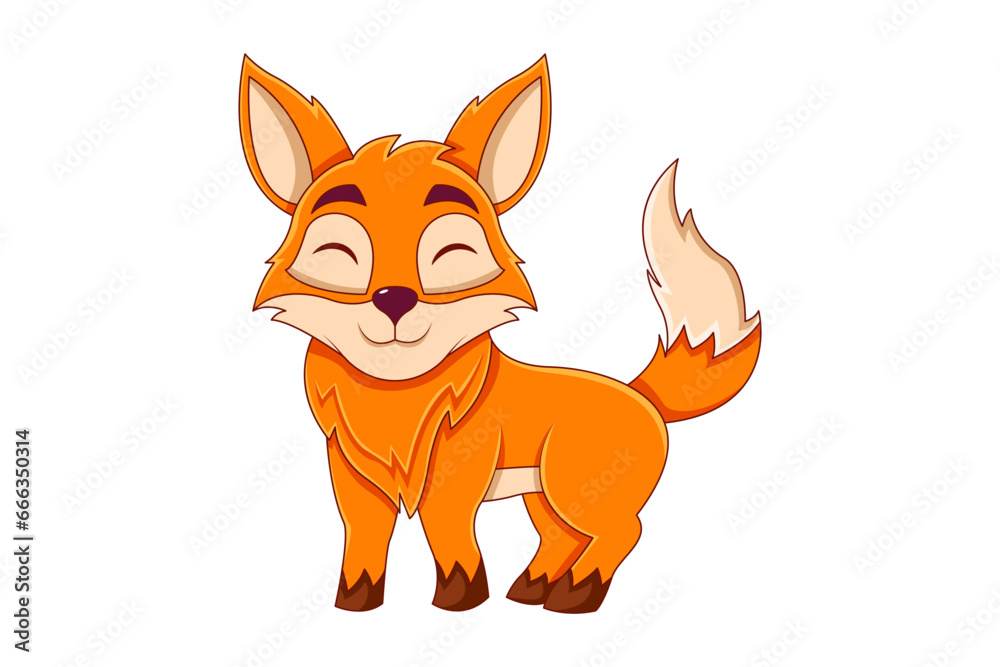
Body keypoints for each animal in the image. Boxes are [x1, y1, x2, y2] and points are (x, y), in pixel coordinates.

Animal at [238, 54, 761, 614]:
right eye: (339, 253)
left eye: (450, 255)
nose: (394, 299)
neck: (398, 396)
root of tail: (640, 394)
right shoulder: (352, 469)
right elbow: (364, 535)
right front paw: (357, 598)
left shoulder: (457, 472)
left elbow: (448, 533)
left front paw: (460, 596)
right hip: (543, 496)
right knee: (560, 537)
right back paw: (535, 587)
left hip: (575, 490)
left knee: (623, 531)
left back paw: (578, 592)